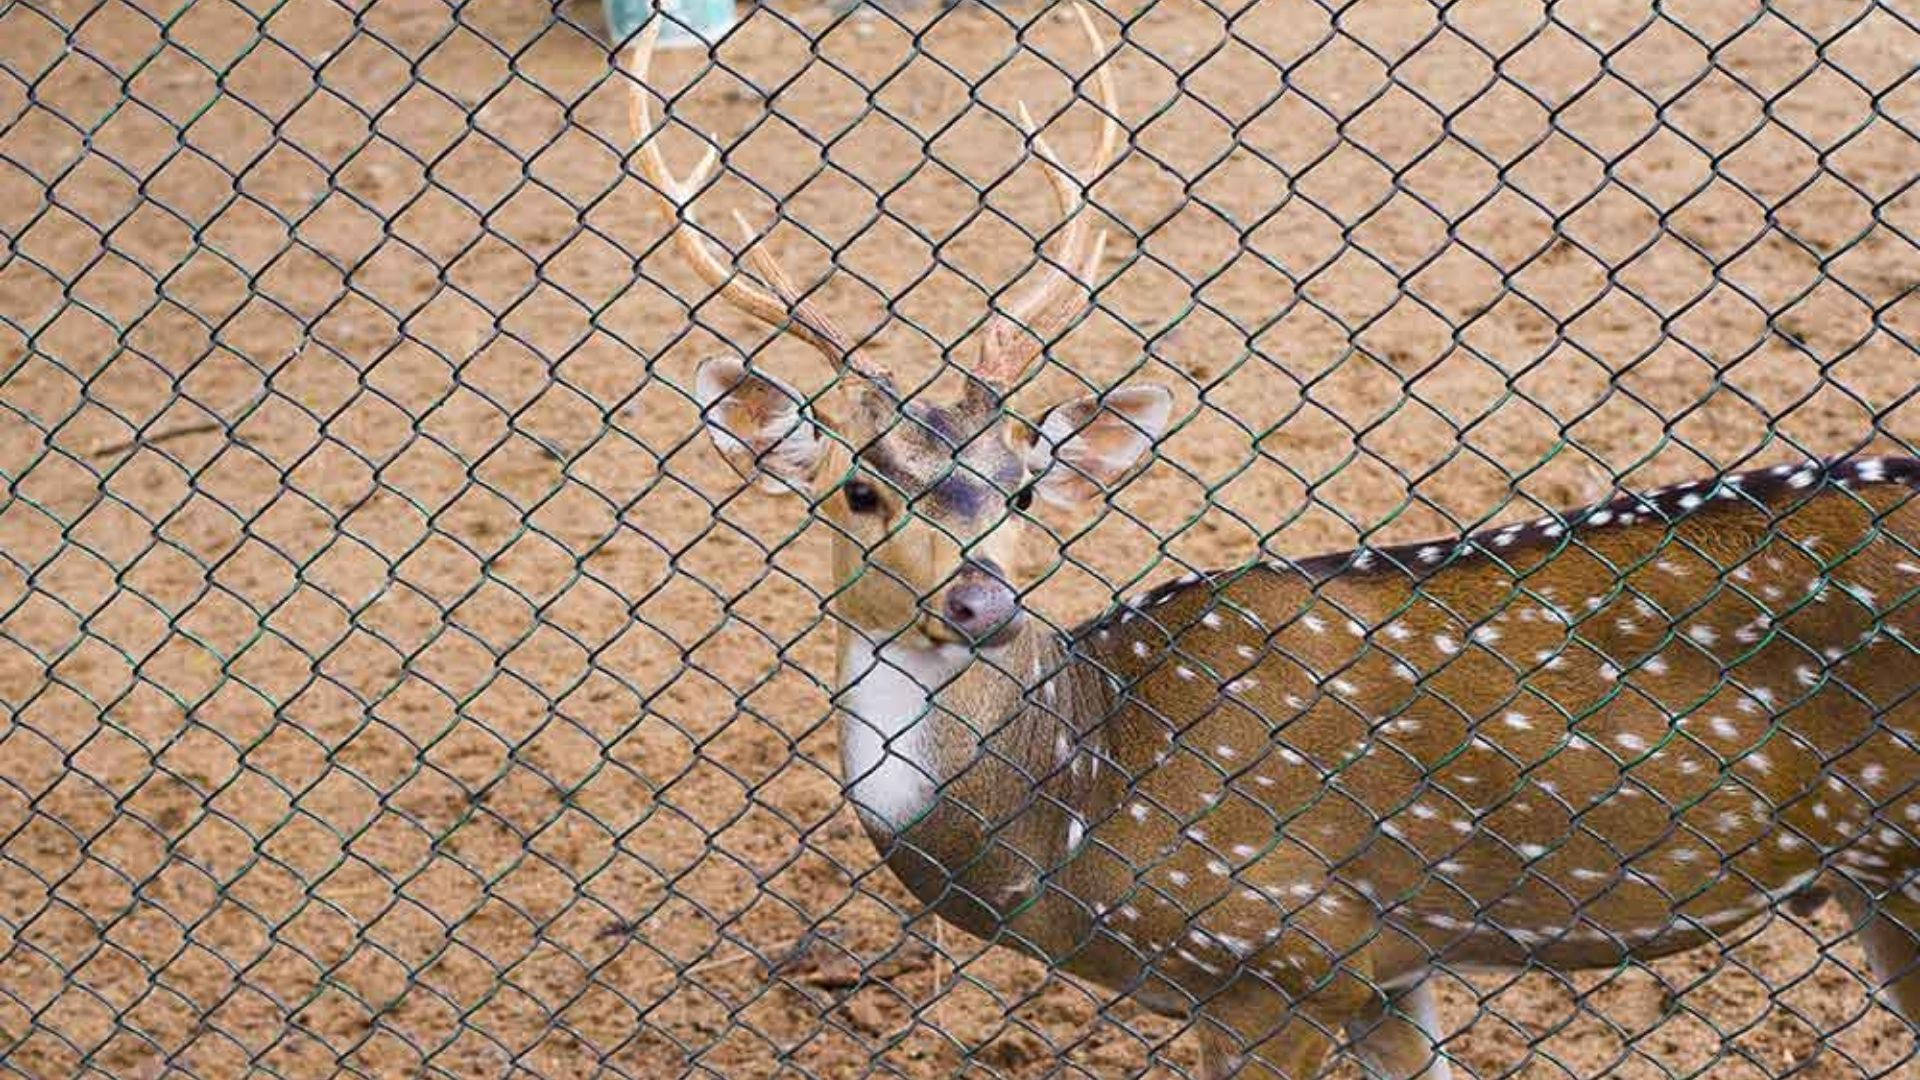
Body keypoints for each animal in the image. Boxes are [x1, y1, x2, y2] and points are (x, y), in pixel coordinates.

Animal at [625, 12, 1920, 1068]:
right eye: (858, 487)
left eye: (1027, 488)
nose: (980, 602)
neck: (1069, 819)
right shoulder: (1385, 972)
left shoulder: (1268, 956)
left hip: (1899, 853)